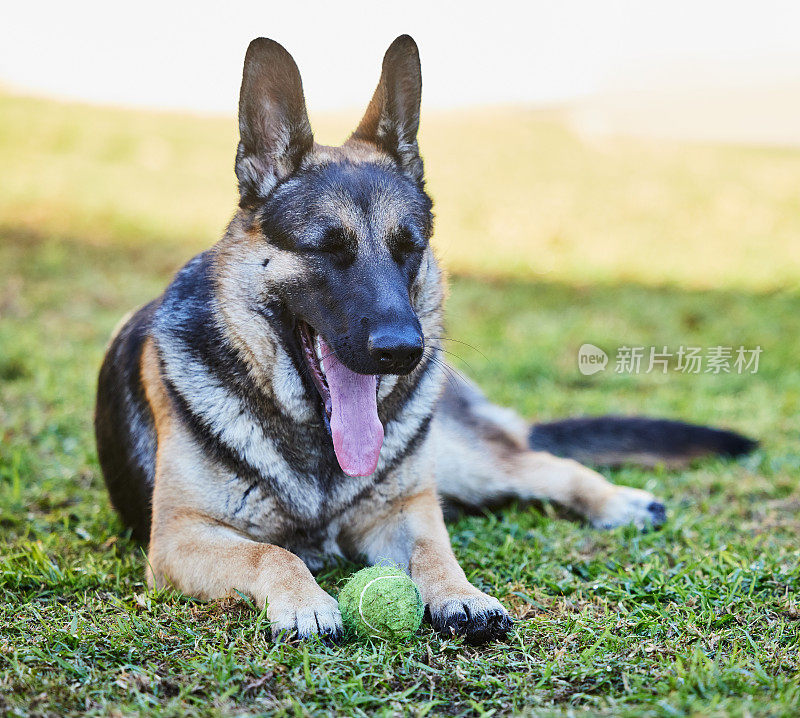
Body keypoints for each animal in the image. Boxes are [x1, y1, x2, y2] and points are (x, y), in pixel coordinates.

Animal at [94, 35, 756, 648]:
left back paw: (617, 501)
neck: (315, 445)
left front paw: (461, 594)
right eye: (327, 249)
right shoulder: (179, 539)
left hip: (461, 460)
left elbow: (435, 551)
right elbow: (270, 552)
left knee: (546, 465)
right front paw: (304, 601)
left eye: (407, 247)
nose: (403, 349)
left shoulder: (404, 511)